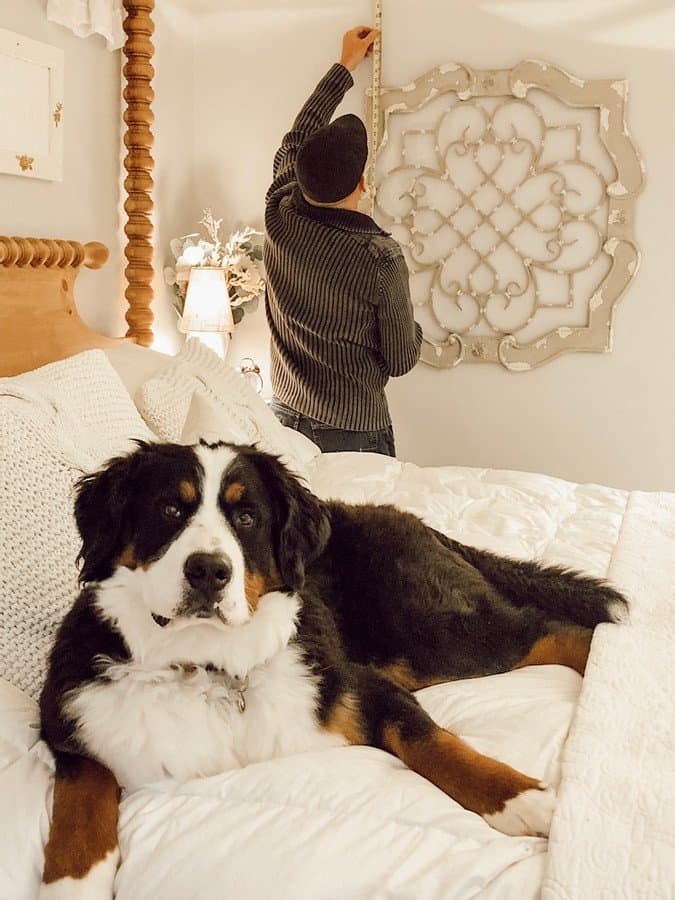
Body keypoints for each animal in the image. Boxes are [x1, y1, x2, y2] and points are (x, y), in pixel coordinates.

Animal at [39, 440, 624, 896]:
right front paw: (73, 883)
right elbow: (83, 799)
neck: (211, 665)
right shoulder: (70, 720)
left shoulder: (358, 687)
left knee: (554, 627)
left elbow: (434, 742)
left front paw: (523, 800)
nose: (208, 571)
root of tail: (411, 520)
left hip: (433, 635)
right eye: (168, 511)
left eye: (246, 518)